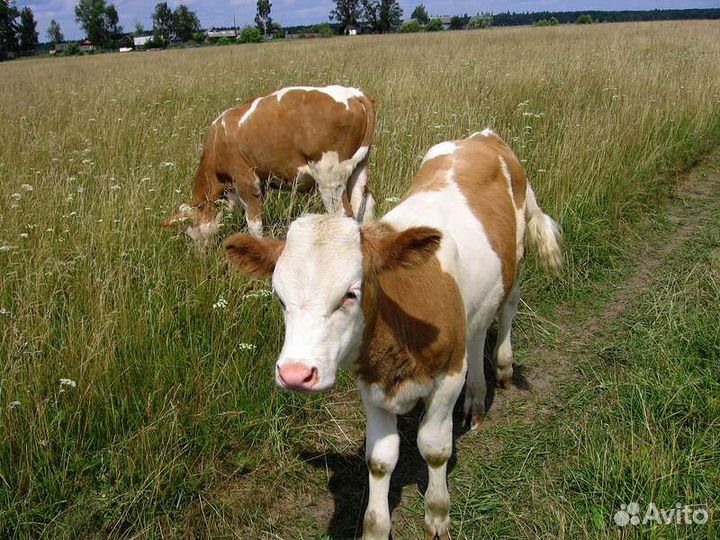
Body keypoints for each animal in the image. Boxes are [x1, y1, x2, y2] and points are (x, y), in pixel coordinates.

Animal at [163, 85, 377, 248]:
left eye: (191, 232)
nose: (200, 254)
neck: (217, 142)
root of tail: (355, 94)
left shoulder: (246, 181)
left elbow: (254, 224)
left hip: (329, 179)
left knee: (342, 216)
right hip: (358, 171)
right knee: (365, 208)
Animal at [223, 130, 563, 540]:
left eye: (350, 293)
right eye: (279, 297)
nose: (295, 374)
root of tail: (482, 137)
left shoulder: (448, 376)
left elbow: (434, 448)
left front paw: (437, 515)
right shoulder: (370, 385)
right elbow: (380, 460)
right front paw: (376, 526)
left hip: (517, 259)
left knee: (507, 311)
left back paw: (502, 368)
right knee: (478, 330)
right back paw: (476, 399)